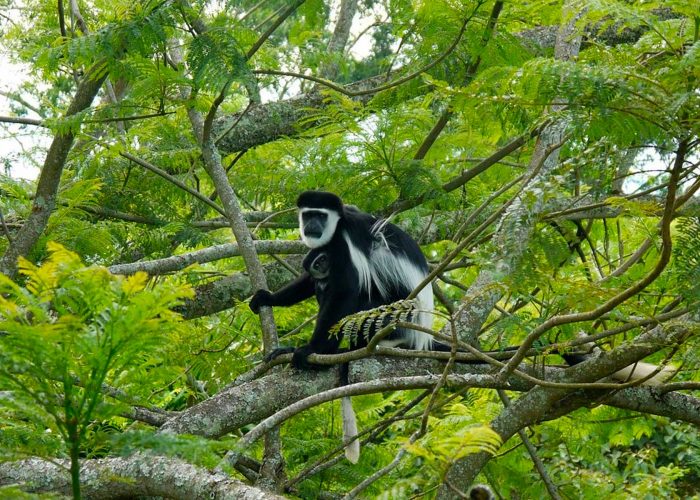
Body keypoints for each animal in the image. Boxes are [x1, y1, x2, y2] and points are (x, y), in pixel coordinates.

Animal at [249, 190, 434, 460]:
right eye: (308, 214)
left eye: (321, 216)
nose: (311, 226)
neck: (338, 225)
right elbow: (311, 280)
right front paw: (269, 298)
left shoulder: (343, 248)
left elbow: (346, 290)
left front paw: (310, 350)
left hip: (393, 317)